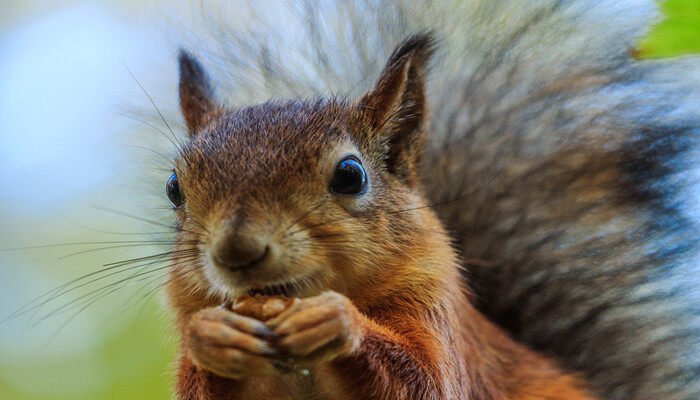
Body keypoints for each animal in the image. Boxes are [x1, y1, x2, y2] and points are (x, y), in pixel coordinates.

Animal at [156, 0, 696, 400]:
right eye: (174, 187)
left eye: (350, 175)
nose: (236, 251)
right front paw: (212, 336)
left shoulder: (435, 312)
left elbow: (425, 381)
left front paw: (336, 321)